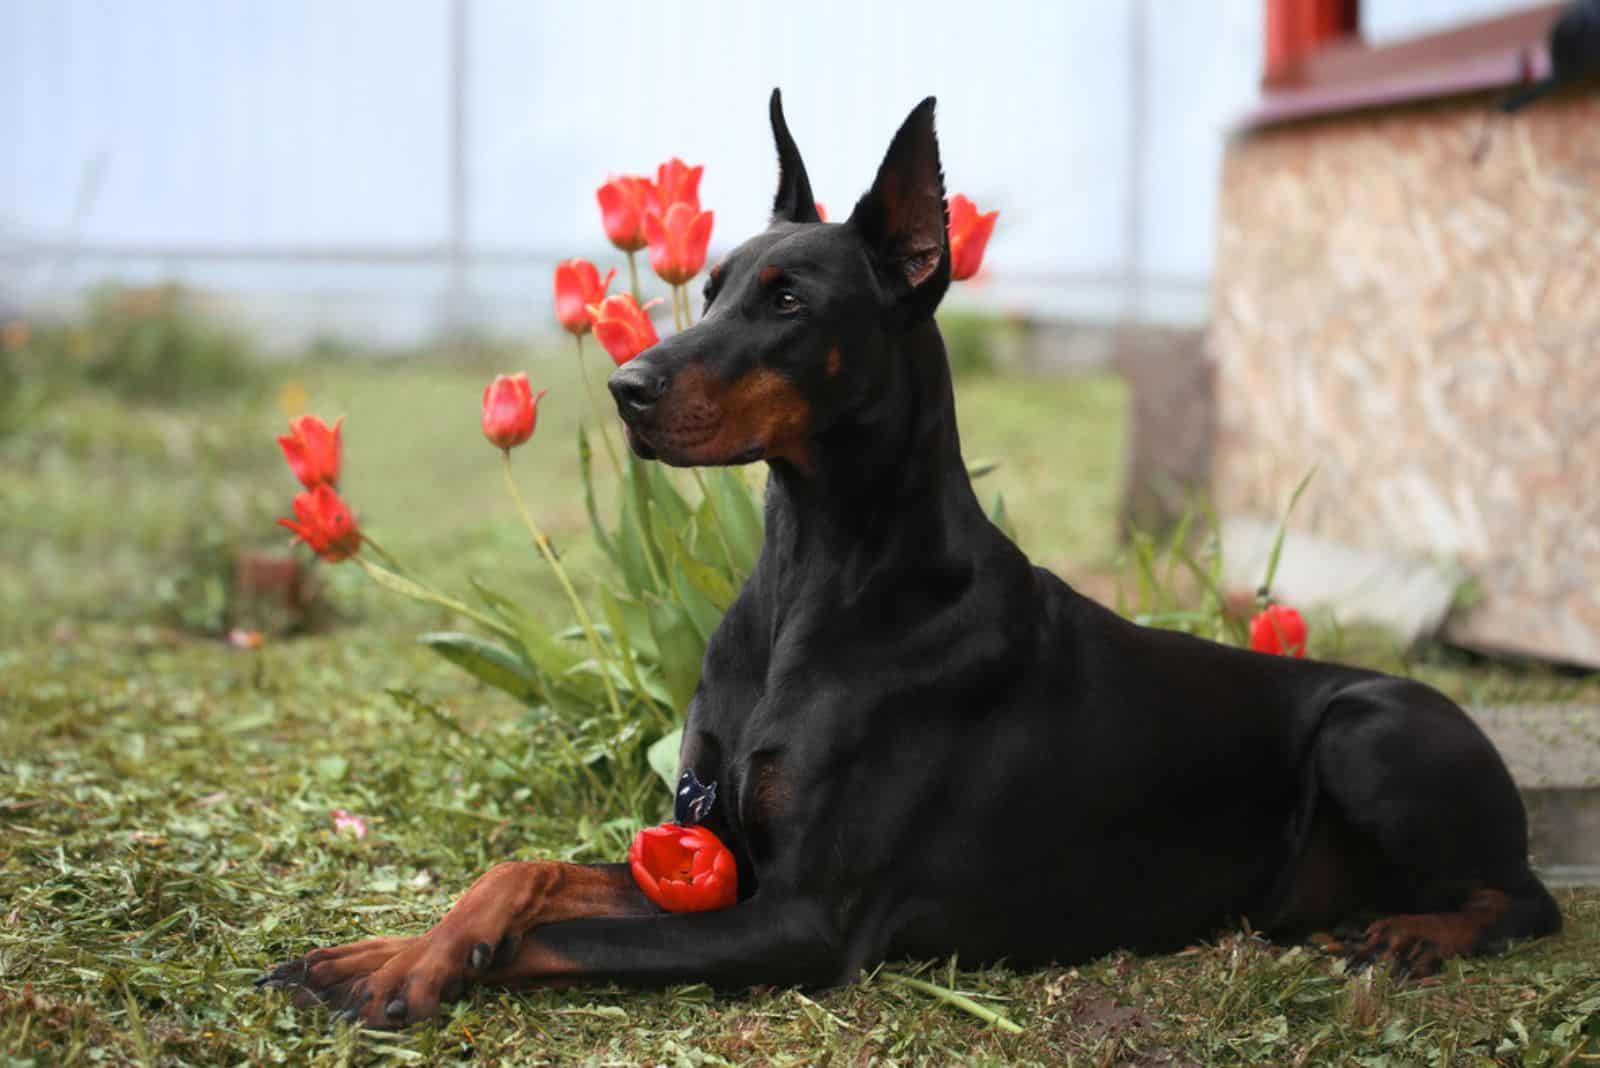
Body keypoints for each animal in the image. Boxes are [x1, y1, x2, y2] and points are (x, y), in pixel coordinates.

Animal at [265, 87, 1561, 1023]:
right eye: (714, 283)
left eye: (789, 299)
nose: (626, 385)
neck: (814, 573)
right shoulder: (707, 852)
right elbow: (521, 874)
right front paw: (392, 951)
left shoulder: (798, 919)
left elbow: (558, 934)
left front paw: (417, 972)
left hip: (1370, 729)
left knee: (1528, 898)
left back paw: (1416, 933)